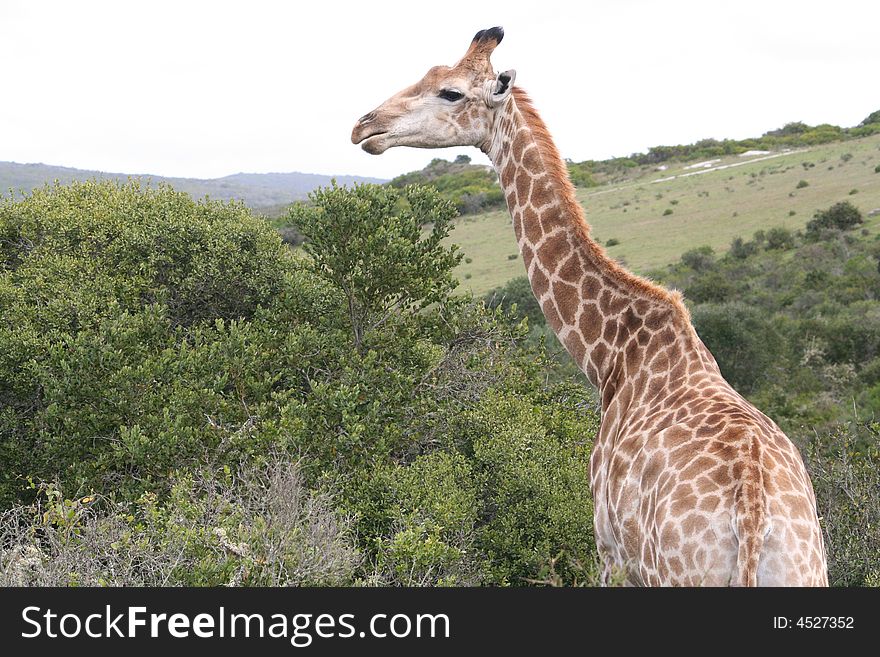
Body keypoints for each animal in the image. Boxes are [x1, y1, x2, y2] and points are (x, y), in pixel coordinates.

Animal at [348, 28, 824, 588]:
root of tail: (752, 519)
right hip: (807, 569)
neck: (612, 356)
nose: (364, 126)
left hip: (676, 573)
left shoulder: (609, 550)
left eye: (451, 92)